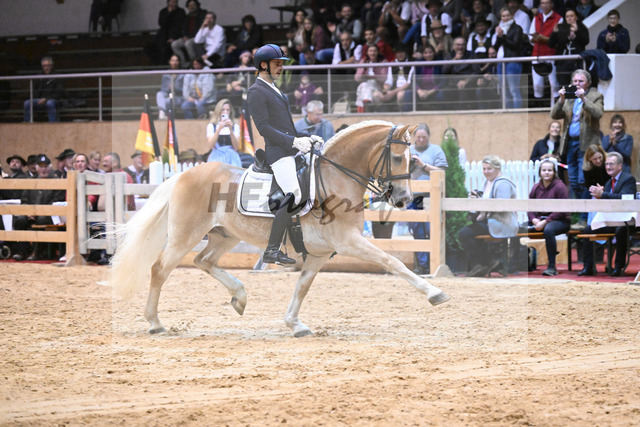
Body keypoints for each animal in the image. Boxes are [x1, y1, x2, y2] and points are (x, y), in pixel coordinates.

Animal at [110, 120, 450, 338]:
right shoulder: (349, 241)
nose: (404, 199)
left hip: (224, 236)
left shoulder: (320, 253)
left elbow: (302, 287)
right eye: (398, 157)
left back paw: (239, 297)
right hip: (185, 236)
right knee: (160, 269)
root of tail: (183, 175)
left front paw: (294, 324)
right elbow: (392, 262)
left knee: (203, 261)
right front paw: (435, 293)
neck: (337, 178)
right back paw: (155, 323)